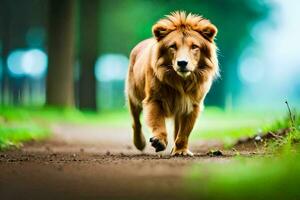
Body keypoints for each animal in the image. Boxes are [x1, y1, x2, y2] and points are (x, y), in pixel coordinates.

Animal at [125, 10, 219, 156]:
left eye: (194, 47)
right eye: (173, 46)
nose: (182, 63)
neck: (181, 81)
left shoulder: (192, 105)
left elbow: (184, 132)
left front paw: (181, 151)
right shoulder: (154, 99)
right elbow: (158, 123)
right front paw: (159, 141)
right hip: (133, 95)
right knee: (136, 122)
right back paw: (139, 143)